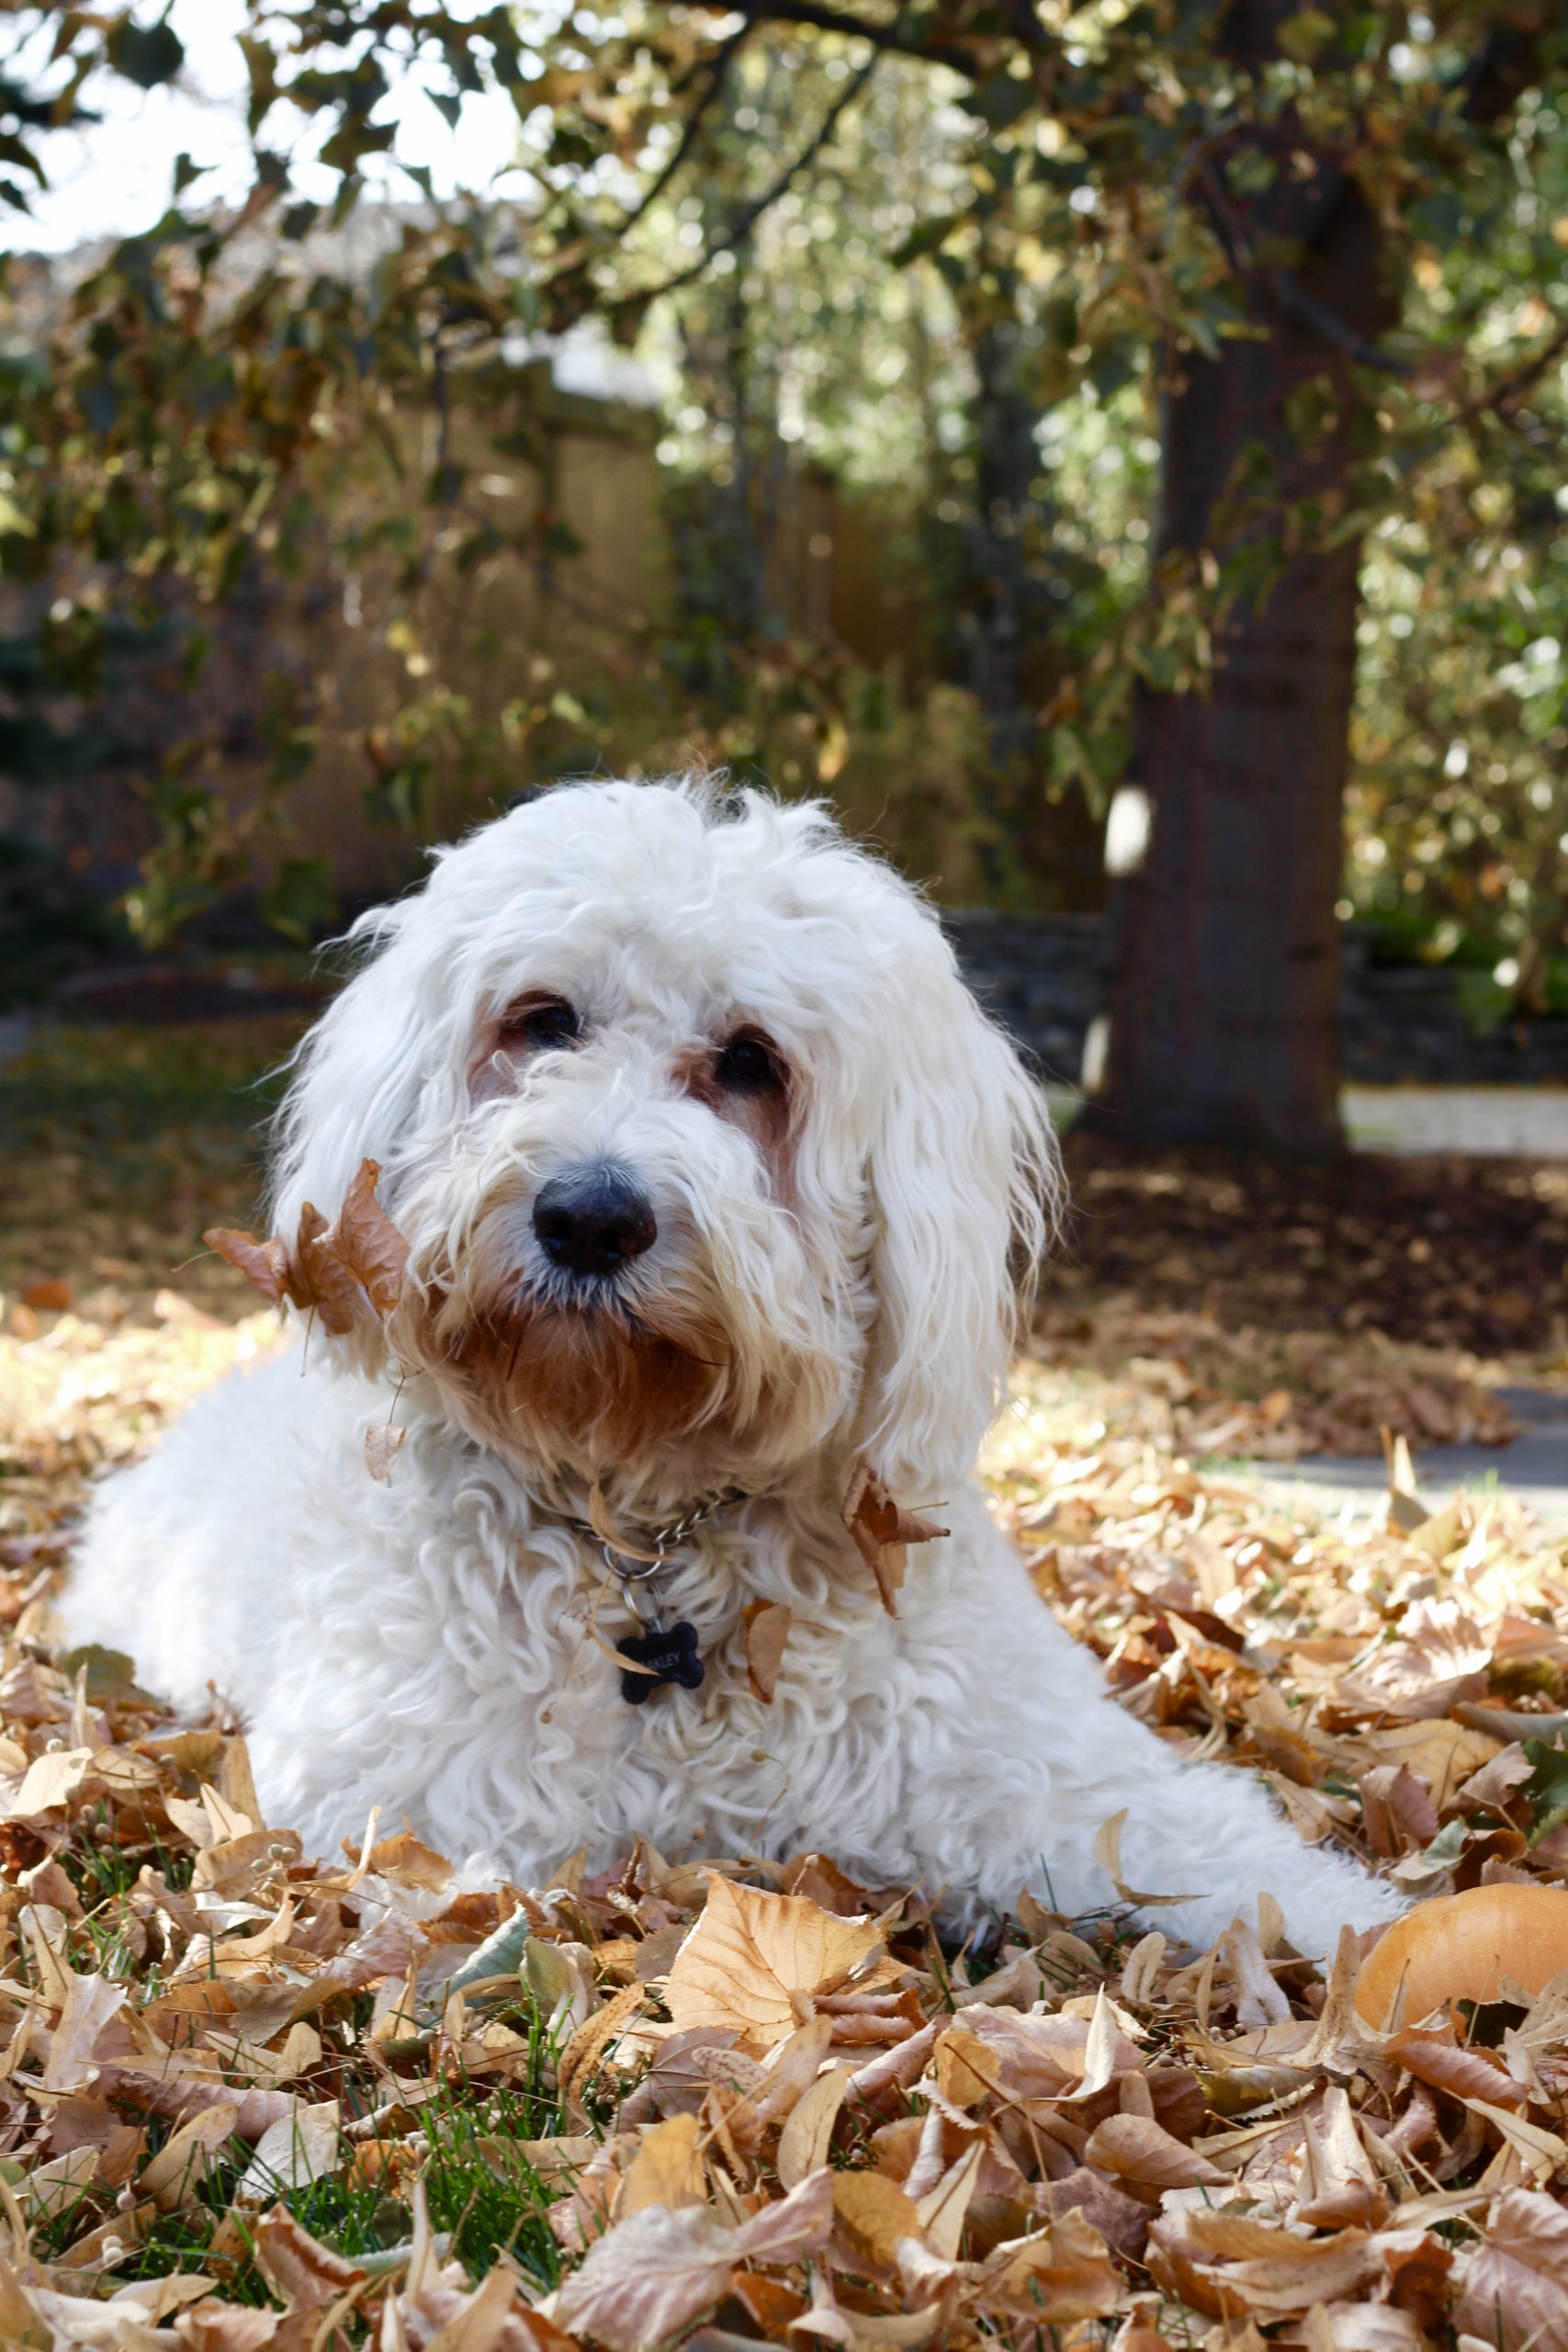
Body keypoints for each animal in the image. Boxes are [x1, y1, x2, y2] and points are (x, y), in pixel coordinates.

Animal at [67, 780, 1401, 1956]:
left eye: (753, 1062)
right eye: (541, 1021)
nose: (587, 1218)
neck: (646, 1539)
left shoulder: (1025, 1756)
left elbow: (1229, 1856)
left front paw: (1378, 1946)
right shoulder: (423, 1793)